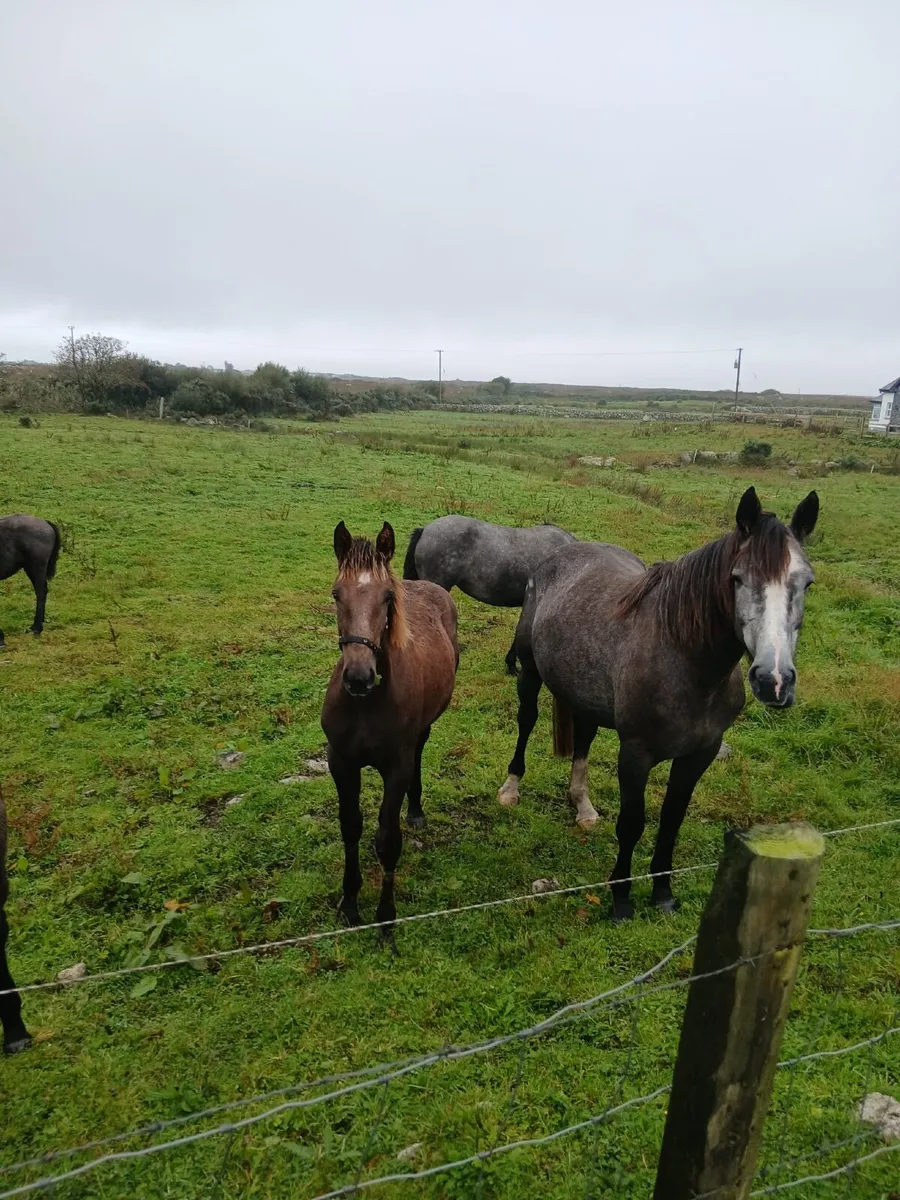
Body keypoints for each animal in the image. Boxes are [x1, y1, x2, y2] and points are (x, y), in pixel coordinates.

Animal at [322, 520, 458, 941]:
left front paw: (386, 918)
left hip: (424, 730)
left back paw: (414, 810)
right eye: (337, 593)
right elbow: (351, 827)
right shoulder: (340, 762)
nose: (359, 677)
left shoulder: (395, 767)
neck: (366, 705)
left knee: (420, 753)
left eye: (386, 596)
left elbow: (388, 840)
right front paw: (350, 902)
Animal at [497, 486, 819, 922]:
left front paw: (663, 893)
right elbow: (632, 824)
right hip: (530, 673)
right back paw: (510, 789)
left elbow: (671, 821)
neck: (685, 663)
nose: (774, 680)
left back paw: (583, 806)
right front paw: (621, 899)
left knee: (583, 739)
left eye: (806, 583)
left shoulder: (699, 754)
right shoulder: (636, 754)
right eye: (737, 579)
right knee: (526, 721)